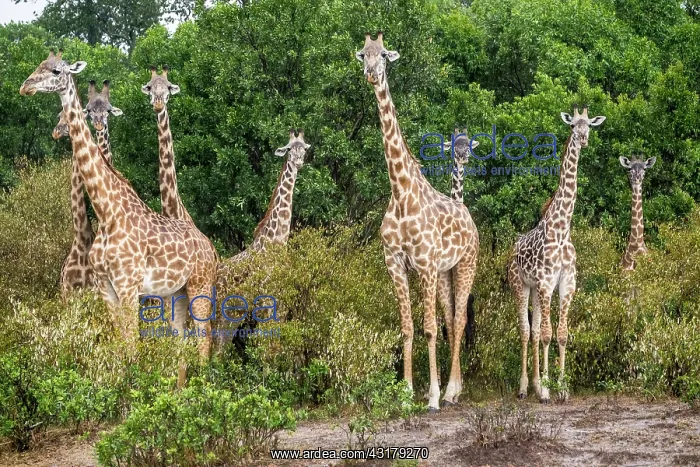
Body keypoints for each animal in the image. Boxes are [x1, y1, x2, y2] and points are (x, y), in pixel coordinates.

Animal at [357, 33, 479, 411]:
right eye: (362, 54)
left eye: (384, 55)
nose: (371, 73)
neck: (400, 193)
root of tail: (470, 219)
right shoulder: (395, 263)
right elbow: (408, 327)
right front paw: (407, 392)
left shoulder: (424, 264)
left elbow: (429, 328)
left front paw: (433, 396)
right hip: (445, 273)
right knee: (452, 318)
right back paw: (455, 388)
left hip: (466, 264)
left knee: (460, 318)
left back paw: (452, 392)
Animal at [507, 105, 605, 403]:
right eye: (573, 125)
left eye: (590, 125)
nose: (583, 139)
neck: (562, 229)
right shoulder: (546, 282)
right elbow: (548, 335)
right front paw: (548, 391)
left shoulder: (565, 283)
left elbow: (560, 334)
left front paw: (561, 388)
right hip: (520, 285)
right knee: (525, 331)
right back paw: (525, 388)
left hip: (535, 290)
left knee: (535, 329)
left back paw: (537, 384)